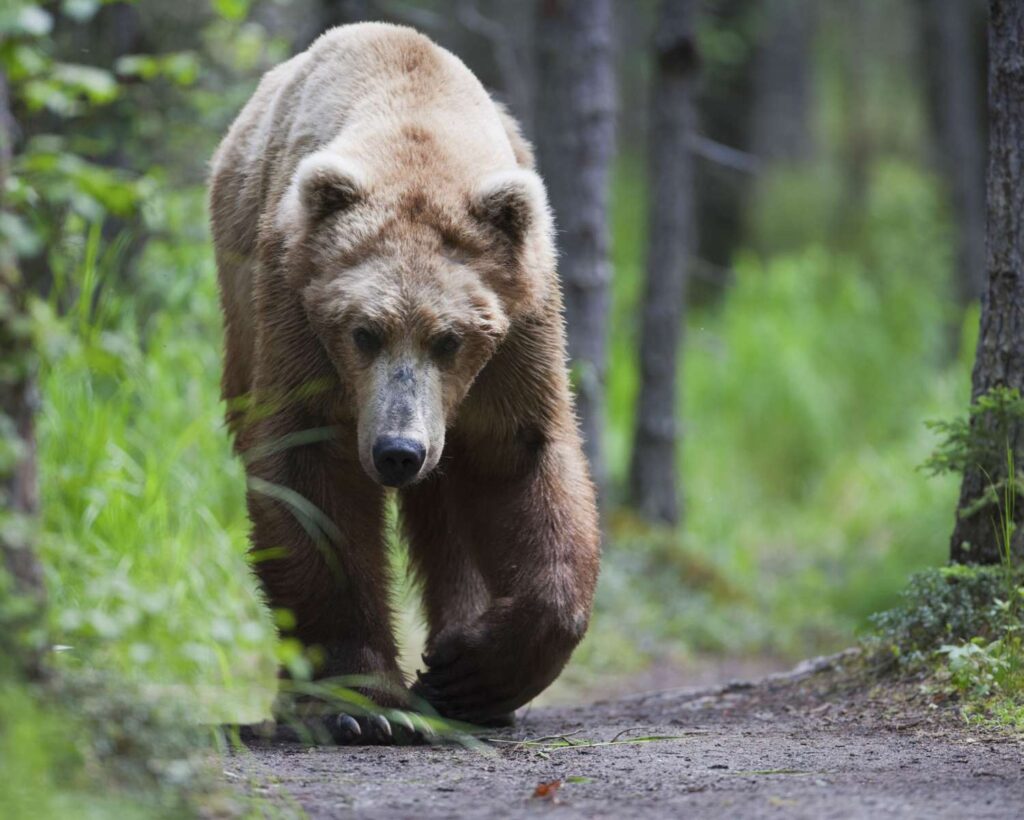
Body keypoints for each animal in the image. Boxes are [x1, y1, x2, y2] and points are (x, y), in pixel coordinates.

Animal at [209, 22, 600, 743]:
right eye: (364, 331)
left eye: (450, 339)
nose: (398, 451)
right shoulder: (297, 307)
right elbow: (312, 482)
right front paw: (360, 704)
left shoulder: (519, 327)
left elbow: (520, 461)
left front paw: (477, 671)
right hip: (241, 304)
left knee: (451, 508)